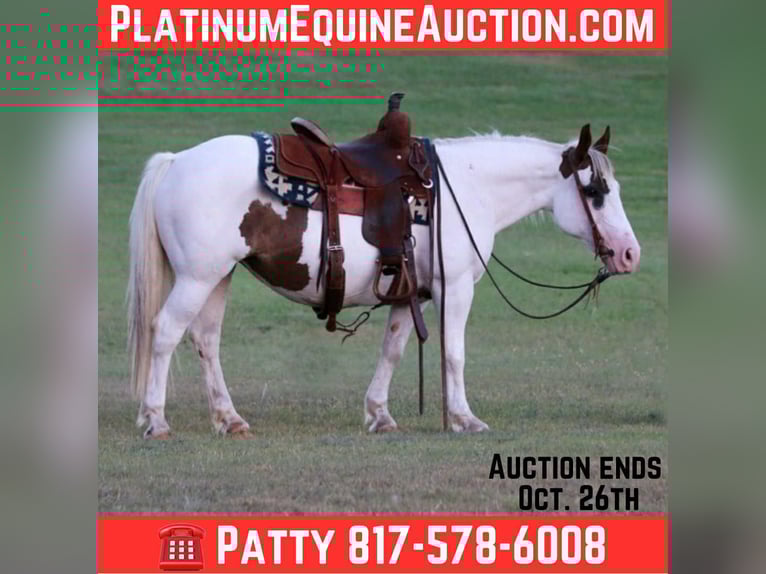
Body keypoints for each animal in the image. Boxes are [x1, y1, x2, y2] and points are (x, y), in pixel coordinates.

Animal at [127, 123, 640, 438]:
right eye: (596, 191)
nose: (630, 254)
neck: (468, 188)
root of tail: (176, 161)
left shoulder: (410, 292)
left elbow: (392, 350)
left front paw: (379, 414)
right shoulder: (455, 287)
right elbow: (453, 353)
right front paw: (464, 418)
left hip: (218, 277)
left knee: (206, 340)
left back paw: (229, 419)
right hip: (197, 277)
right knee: (166, 333)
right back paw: (155, 420)